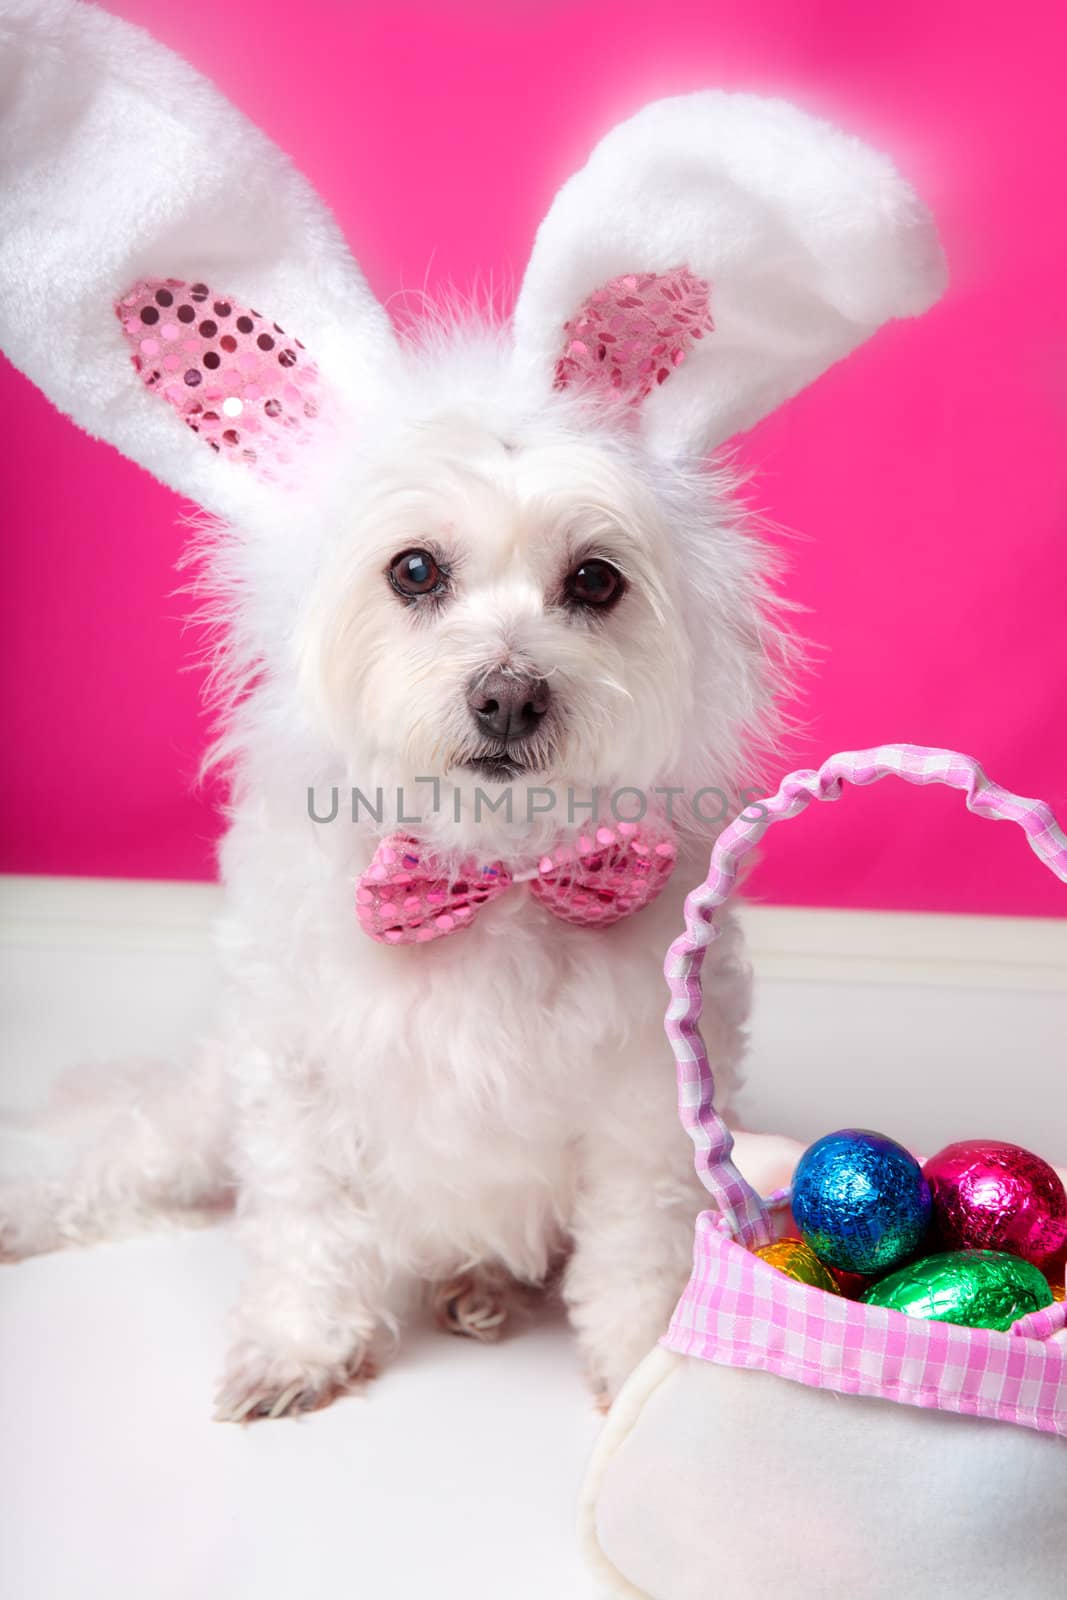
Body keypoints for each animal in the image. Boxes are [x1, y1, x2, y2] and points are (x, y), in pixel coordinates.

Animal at [0, 3, 940, 1427]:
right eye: (413, 571)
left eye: (594, 581)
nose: (507, 691)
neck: (489, 881)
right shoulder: (300, 1084)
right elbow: (306, 1229)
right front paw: (297, 1348)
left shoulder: (645, 1106)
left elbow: (634, 1255)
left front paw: (641, 1365)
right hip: (203, 1108)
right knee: (130, 1153)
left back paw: (479, 1288)